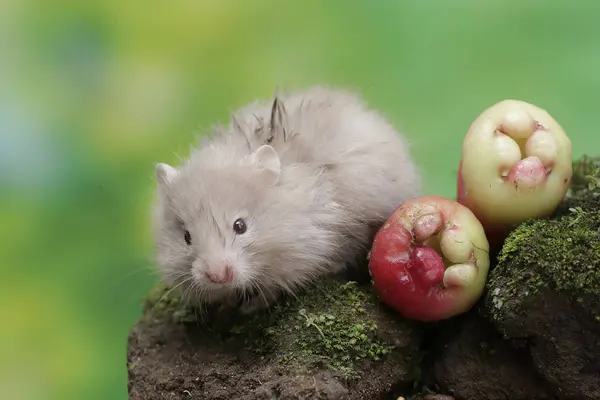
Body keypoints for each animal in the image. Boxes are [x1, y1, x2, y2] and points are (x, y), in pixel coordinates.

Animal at [152, 86, 420, 314]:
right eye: (187, 237)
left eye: (240, 226)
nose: (217, 277)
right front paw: (227, 304)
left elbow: (276, 286)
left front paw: (250, 307)